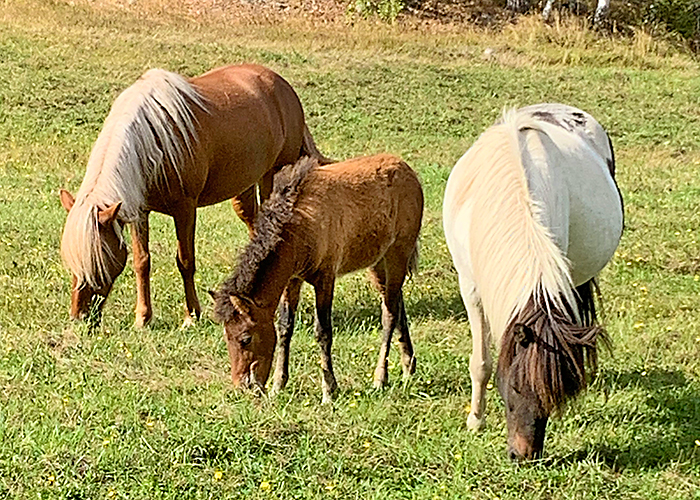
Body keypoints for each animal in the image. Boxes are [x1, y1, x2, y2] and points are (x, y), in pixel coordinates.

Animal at [59, 63, 328, 328]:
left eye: (98, 262)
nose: (79, 316)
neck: (154, 143)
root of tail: (283, 86)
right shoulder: (139, 211)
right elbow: (142, 261)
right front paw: (143, 318)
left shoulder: (185, 210)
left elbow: (185, 261)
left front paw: (191, 316)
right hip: (245, 189)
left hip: (273, 176)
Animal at [211, 154, 424, 404]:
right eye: (226, 337)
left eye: (245, 338)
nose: (242, 386)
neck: (300, 226)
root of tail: (408, 171)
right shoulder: (292, 281)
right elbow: (285, 328)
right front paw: (278, 384)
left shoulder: (325, 279)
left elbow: (323, 332)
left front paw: (329, 390)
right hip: (378, 262)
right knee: (397, 303)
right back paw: (408, 366)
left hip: (398, 253)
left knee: (389, 314)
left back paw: (380, 378)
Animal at [442, 104, 624, 460]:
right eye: (513, 386)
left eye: (553, 395)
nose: (524, 456)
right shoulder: (470, 288)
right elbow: (481, 361)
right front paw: (475, 419)